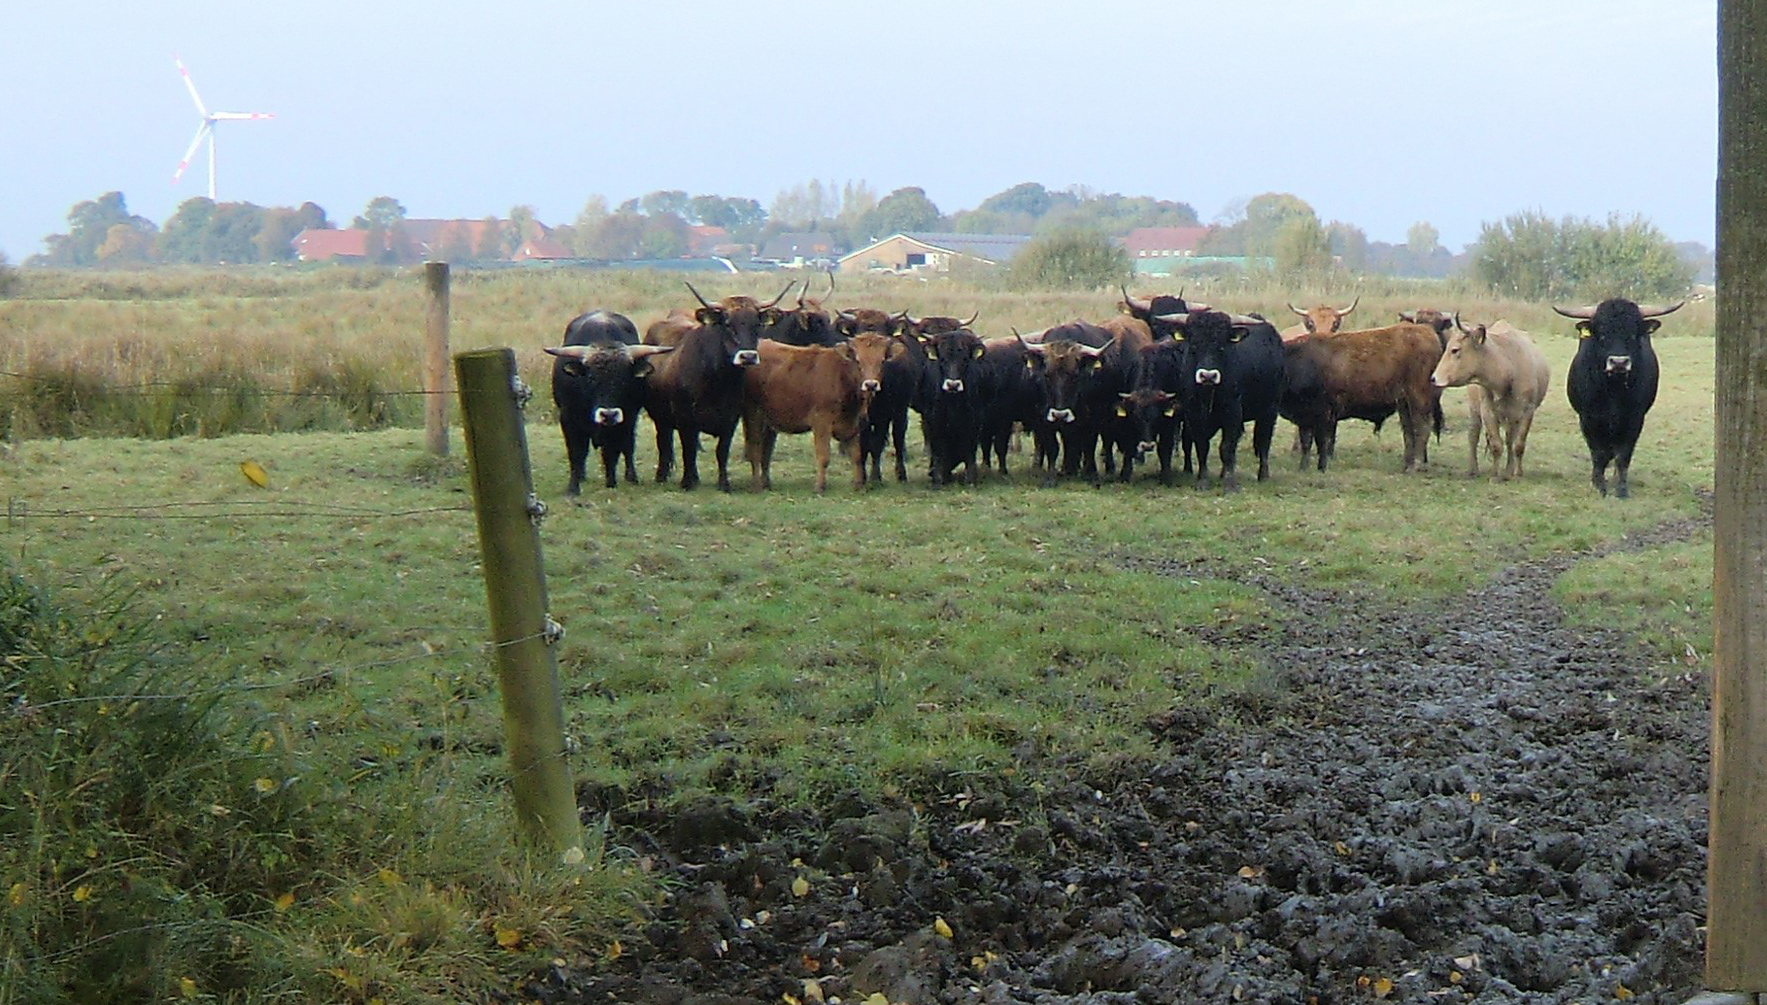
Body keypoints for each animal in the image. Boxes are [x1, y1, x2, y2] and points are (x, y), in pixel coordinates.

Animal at [738, 335, 904, 491]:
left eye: (882, 361)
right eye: (858, 361)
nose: (870, 384)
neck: (841, 377)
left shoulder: (854, 424)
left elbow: (856, 456)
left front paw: (859, 486)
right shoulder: (821, 423)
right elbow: (824, 457)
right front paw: (820, 487)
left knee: (766, 451)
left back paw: (766, 483)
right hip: (753, 413)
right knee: (755, 449)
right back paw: (757, 486)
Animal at [1159, 309, 1286, 491]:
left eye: (1221, 346)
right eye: (1194, 345)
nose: (1208, 376)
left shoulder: (1232, 412)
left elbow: (1227, 447)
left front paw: (1230, 484)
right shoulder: (1193, 414)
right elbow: (1202, 445)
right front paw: (1203, 480)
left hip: (1270, 410)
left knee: (1263, 442)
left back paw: (1263, 475)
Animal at [1434, 319, 1547, 480]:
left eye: (1455, 350)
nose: (1433, 378)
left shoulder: (1527, 411)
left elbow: (1518, 445)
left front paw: (1517, 473)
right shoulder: (1487, 410)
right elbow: (1496, 444)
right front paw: (1494, 475)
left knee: (1510, 440)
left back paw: (1508, 469)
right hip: (1475, 409)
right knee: (1473, 436)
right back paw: (1473, 469)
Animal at [1554, 298, 1675, 501]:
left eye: (1633, 335)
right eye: (1602, 335)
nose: (1619, 362)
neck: (1613, 390)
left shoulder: (1634, 419)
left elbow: (1623, 455)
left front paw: (1622, 489)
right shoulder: (1588, 419)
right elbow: (1598, 454)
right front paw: (1599, 485)